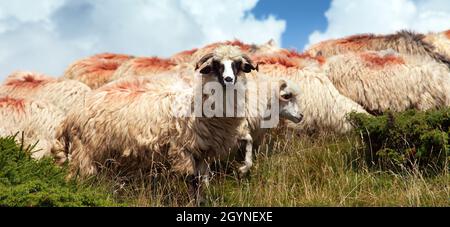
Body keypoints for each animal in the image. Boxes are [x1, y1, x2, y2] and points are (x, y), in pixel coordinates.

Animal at [53, 45, 258, 201]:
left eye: (238, 65)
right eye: (216, 65)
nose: (229, 79)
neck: (196, 106)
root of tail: (70, 116)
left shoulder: (203, 153)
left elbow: (200, 183)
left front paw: (201, 200)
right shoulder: (183, 150)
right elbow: (192, 180)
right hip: (85, 150)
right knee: (80, 177)